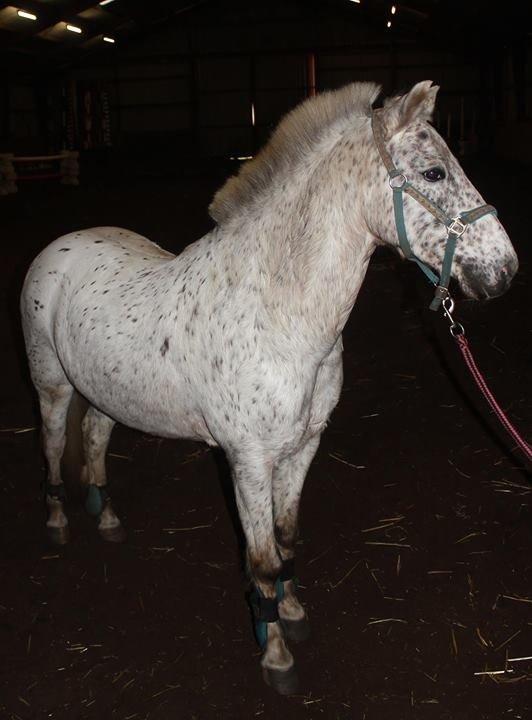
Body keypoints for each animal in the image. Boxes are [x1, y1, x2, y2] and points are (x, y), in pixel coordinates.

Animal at [20, 81, 518, 694]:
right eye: (433, 172)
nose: (504, 269)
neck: (278, 317)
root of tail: (58, 246)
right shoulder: (248, 461)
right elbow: (260, 561)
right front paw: (276, 656)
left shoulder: (303, 447)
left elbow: (285, 538)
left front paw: (294, 612)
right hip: (50, 383)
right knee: (50, 443)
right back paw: (59, 521)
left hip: (106, 391)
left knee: (92, 436)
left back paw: (106, 516)